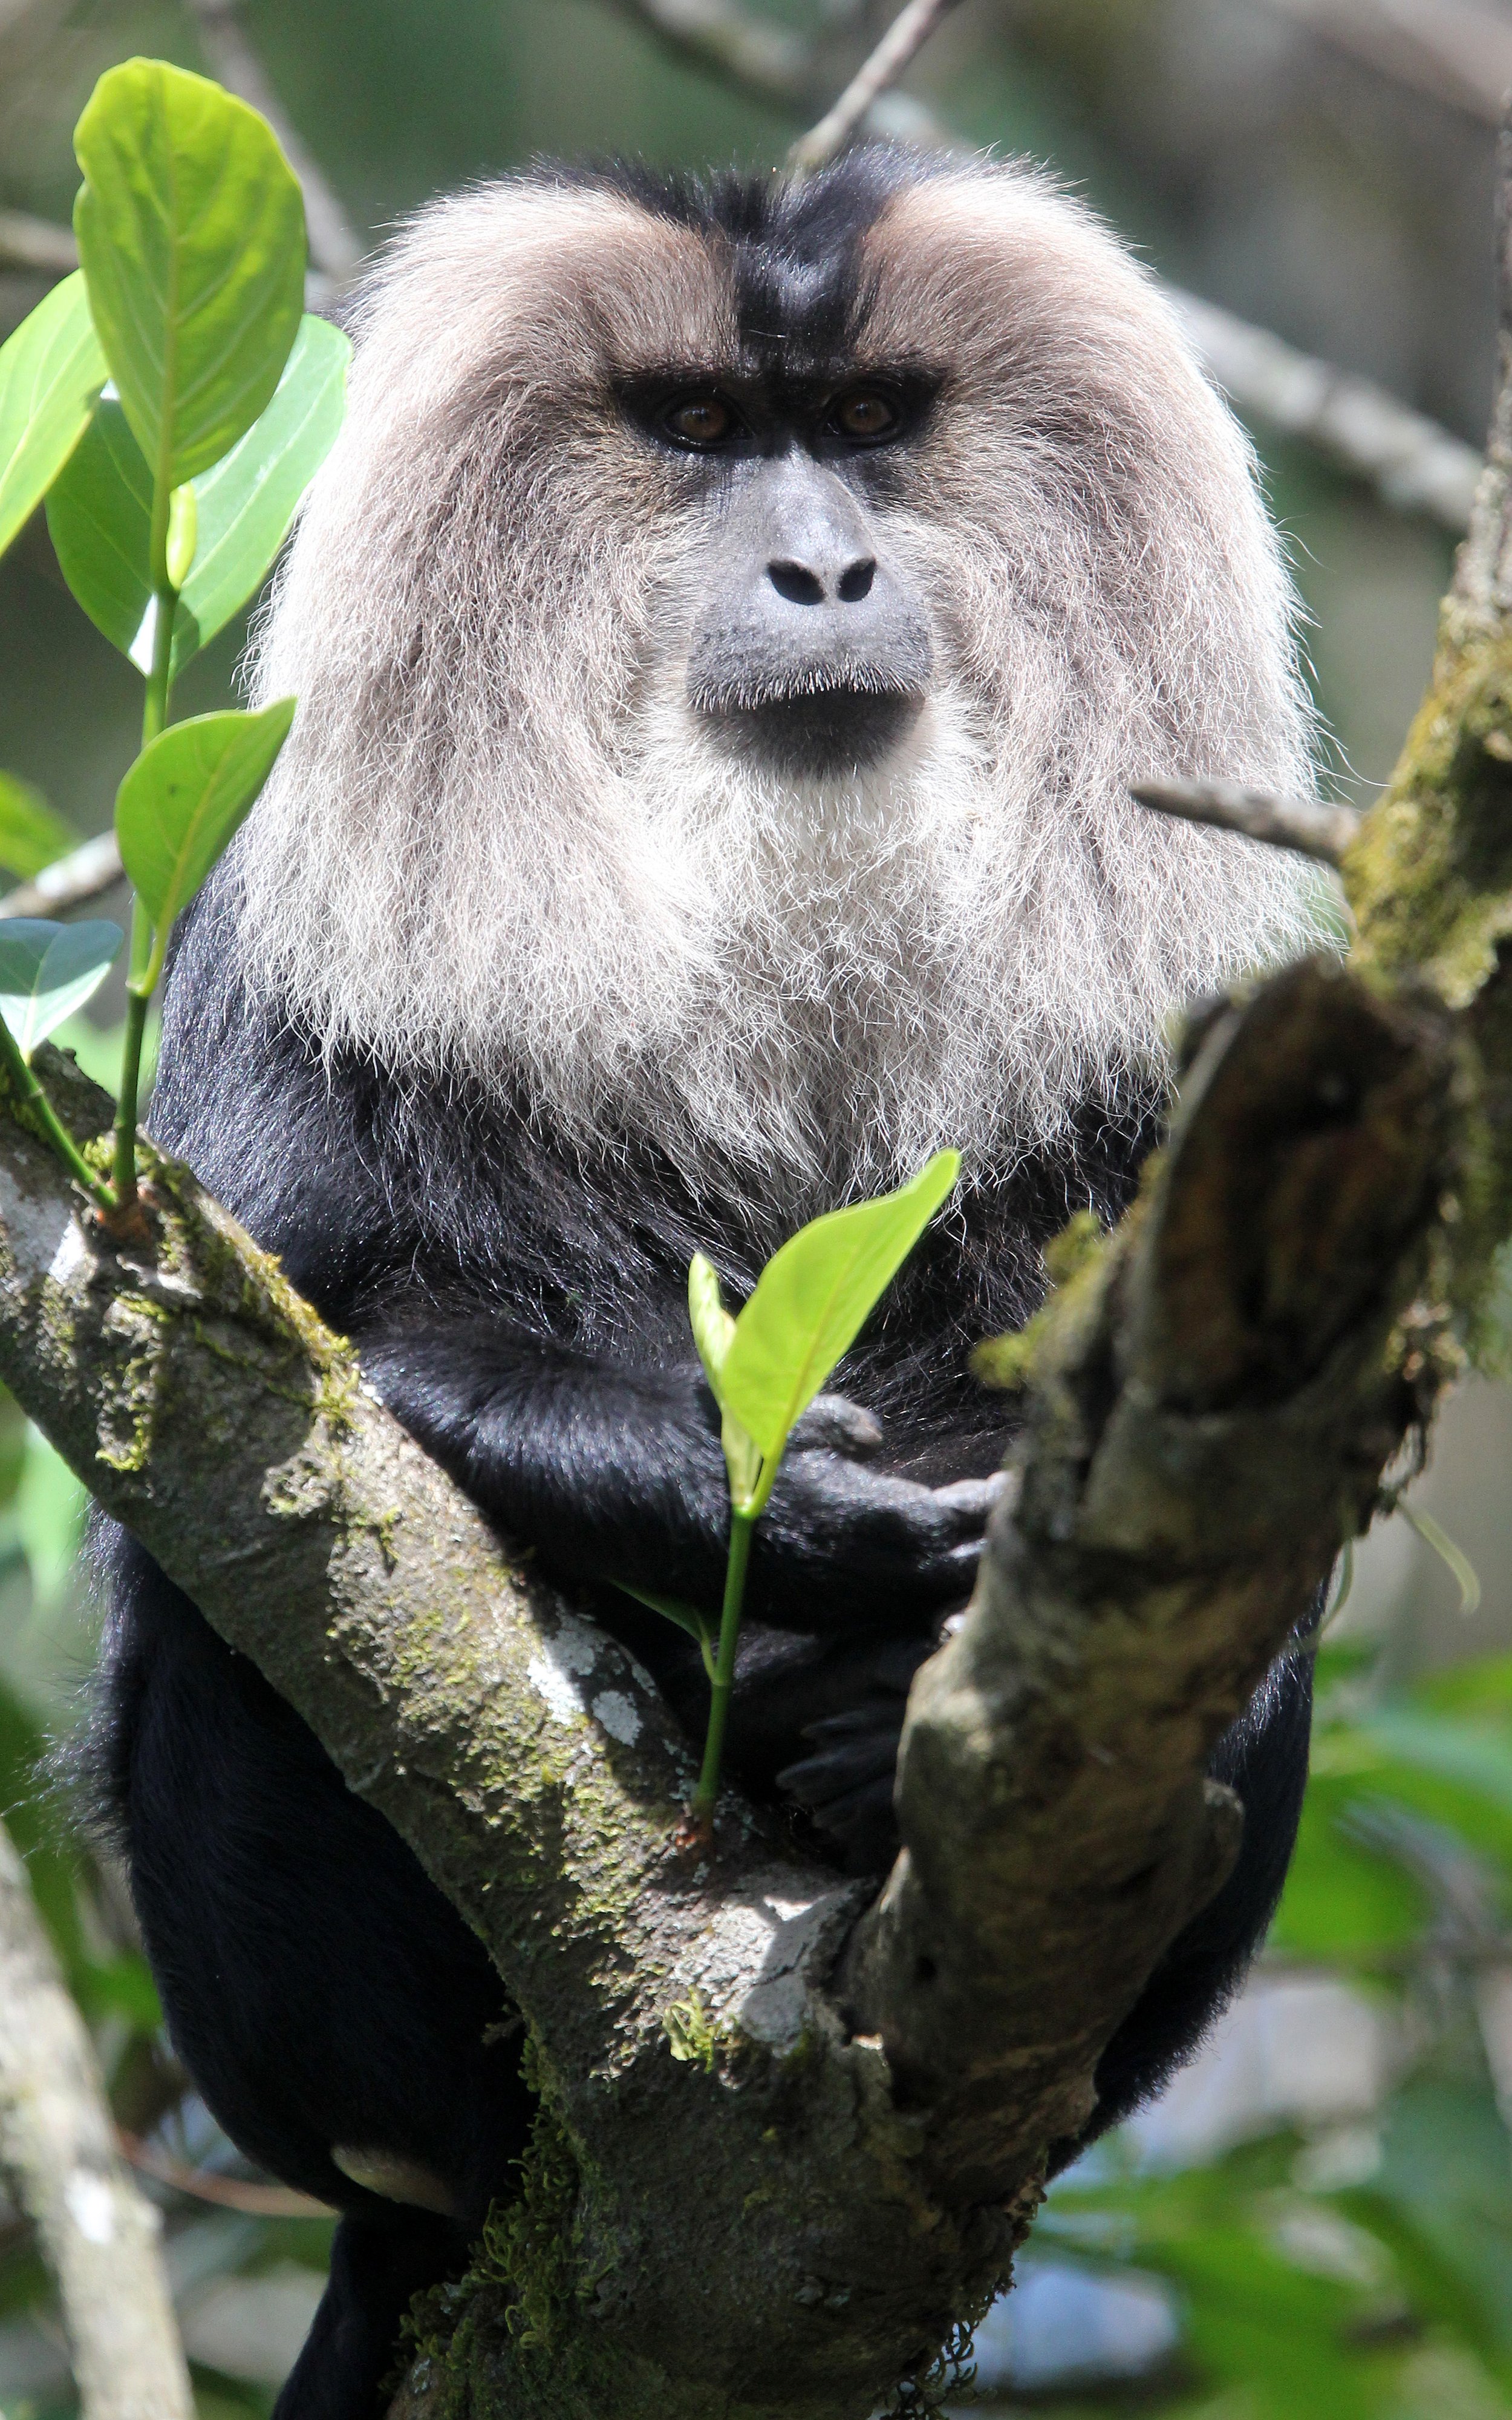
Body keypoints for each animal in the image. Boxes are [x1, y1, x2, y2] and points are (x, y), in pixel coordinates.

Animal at [87, 147, 1325, 2420]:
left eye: (863, 424)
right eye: (691, 428)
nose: (825, 569)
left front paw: (879, 1655)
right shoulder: (256, 901)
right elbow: (264, 1348)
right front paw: (736, 1492)